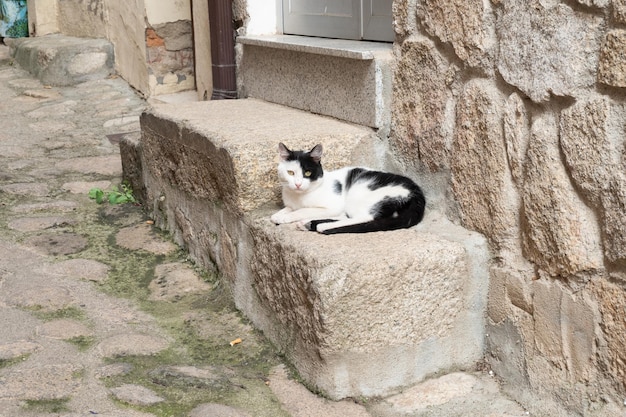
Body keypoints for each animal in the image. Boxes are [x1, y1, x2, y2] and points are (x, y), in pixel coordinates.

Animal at [268, 142, 424, 234]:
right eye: (290, 172)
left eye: (307, 173)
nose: (298, 184)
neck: (298, 197)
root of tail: (417, 194)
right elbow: (283, 211)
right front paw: (280, 214)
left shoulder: (332, 206)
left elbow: (303, 210)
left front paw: (287, 217)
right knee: (344, 217)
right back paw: (307, 223)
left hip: (359, 195)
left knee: (364, 218)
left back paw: (318, 225)